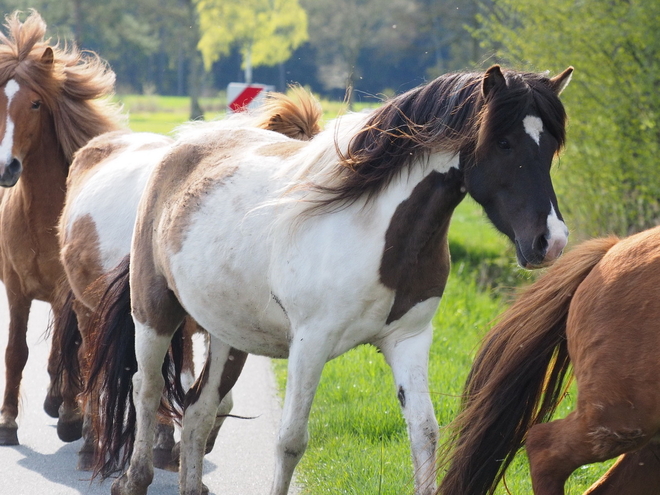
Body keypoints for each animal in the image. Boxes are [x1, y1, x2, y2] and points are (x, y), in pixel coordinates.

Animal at [0, 10, 124, 446]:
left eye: (36, 103)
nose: (7, 167)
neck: (39, 216)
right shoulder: (16, 288)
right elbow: (16, 352)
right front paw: (7, 421)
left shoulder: (65, 291)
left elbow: (68, 350)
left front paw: (71, 415)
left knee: (70, 349)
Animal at [56, 87, 322, 470]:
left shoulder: (223, 325)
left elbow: (216, 397)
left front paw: (189, 447)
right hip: (89, 309)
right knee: (93, 364)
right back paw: (93, 444)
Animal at [86, 66, 572, 495]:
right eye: (504, 142)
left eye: (551, 146)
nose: (551, 242)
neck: (378, 231)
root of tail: (179, 148)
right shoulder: (311, 343)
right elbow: (290, 440)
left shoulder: (409, 341)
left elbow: (425, 432)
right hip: (154, 311)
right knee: (147, 388)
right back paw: (133, 480)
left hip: (228, 336)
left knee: (199, 412)